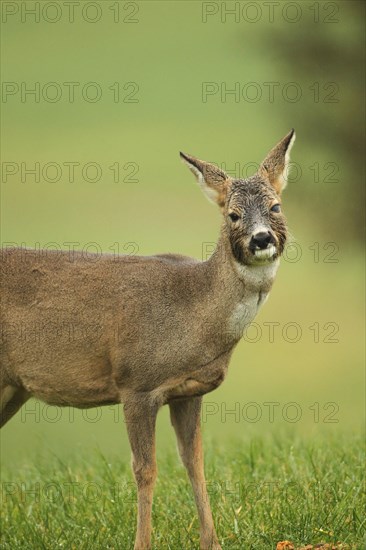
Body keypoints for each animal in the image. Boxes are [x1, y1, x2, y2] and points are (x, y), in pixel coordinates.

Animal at [0, 128, 296, 548]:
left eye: (275, 206)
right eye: (233, 214)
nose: (260, 239)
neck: (194, 313)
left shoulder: (189, 392)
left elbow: (195, 463)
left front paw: (213, 541)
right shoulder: (136, 384)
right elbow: (145, 469)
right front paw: (142, 542)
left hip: (12, 387)